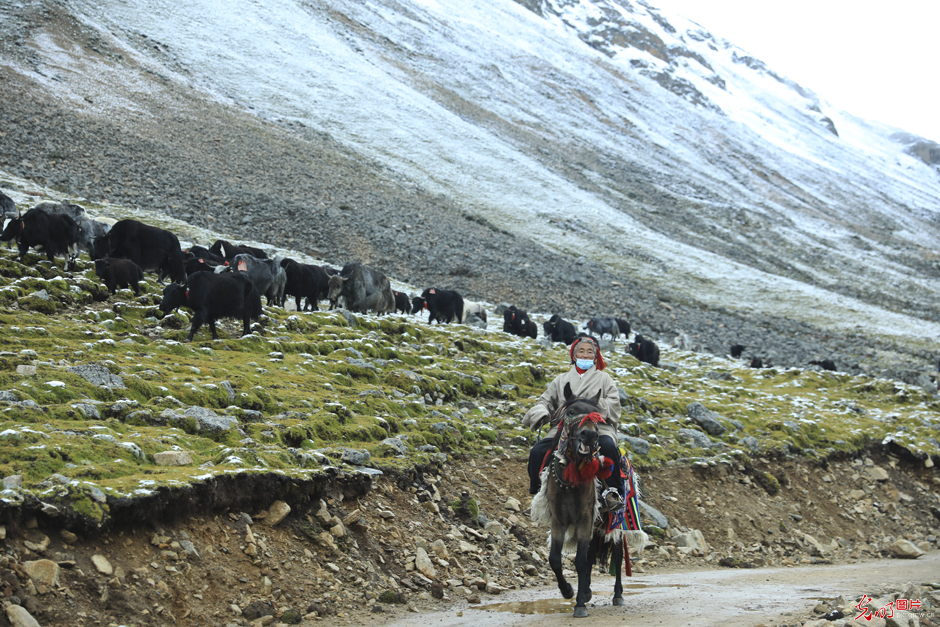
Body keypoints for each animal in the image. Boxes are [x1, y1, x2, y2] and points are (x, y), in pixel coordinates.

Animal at [528, 382, 624, 620]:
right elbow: (555, 559)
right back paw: (587, 590)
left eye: (598, 415)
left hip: (617, 520)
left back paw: (617, 595)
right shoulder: (559, 520)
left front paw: (579, 604)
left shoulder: (584, 518)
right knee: (590, 554)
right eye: (571, 412)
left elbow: (580, 560)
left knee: (617, 555)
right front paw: (569, 591)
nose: (589, 435)